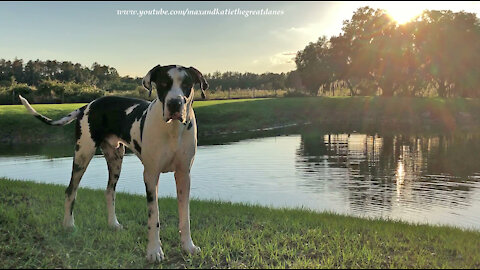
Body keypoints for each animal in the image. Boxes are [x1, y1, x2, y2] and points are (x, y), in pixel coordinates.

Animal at [18, 64, 208, 262]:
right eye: (163, 84)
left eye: (186, 84)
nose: (174, 103)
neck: (172, 130)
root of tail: (86, 106)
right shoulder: (150, 175)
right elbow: (153, 217)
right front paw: (154, 251)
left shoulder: (184, 175)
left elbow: (185, 217)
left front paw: (188, 247)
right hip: (82, 155)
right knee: (71, 190)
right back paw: (68, 225)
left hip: (116, 160)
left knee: (109, 191)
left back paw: (113, 224)